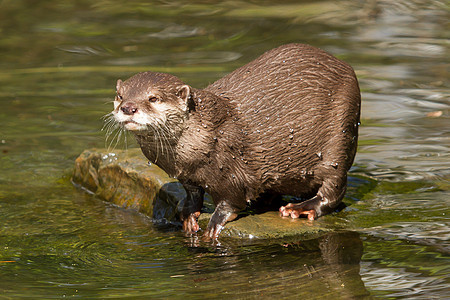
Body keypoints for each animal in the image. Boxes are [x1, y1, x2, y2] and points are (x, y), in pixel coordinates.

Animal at [110, 43, 360, 239]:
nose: (128, 107)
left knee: (335, 189)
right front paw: (188, 214)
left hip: (340, 136)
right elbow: (193, 194)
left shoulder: (230, 168)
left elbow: (231, 200)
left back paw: (300, 208)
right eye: (120, 96)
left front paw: (216, 222)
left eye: (153, 98)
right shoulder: (187, 176)